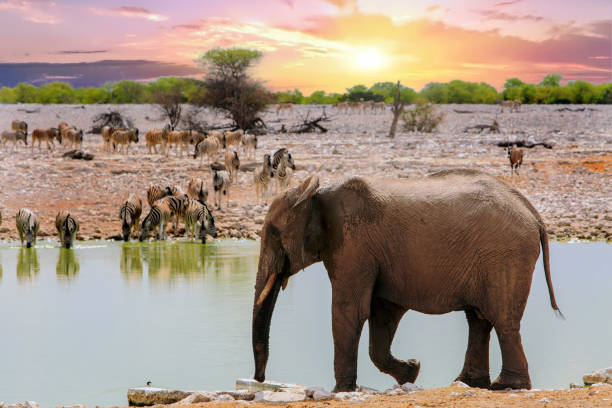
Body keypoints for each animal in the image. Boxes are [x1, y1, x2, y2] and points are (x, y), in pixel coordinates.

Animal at [251, 168, 560, 392]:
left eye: (274, 233)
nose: (259, 380)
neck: (314, 194)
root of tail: (534, 214)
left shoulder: (353, 245)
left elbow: (350, 310)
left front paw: (341, 390)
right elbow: (382, 313)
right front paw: (412, 370)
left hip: (505, 255)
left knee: (501, 320)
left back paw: (506, 386)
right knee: (479, 319)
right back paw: (470, 383)